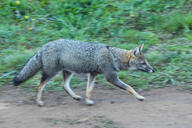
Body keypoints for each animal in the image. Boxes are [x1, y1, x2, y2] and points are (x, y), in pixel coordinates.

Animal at [13, 39, 154, 106]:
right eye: (143, 63)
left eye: (147, 62)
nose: (153, 69)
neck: (113, 56)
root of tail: (44, 46)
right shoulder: (111, 78)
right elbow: (130, 87)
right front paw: (139, 97)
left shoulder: (93, 74)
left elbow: (89, 90)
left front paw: (88, 101)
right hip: (51, 73)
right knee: (40, 86)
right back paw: (39, 102)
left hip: (68, 72)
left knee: (64, 85)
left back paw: (75, 97)